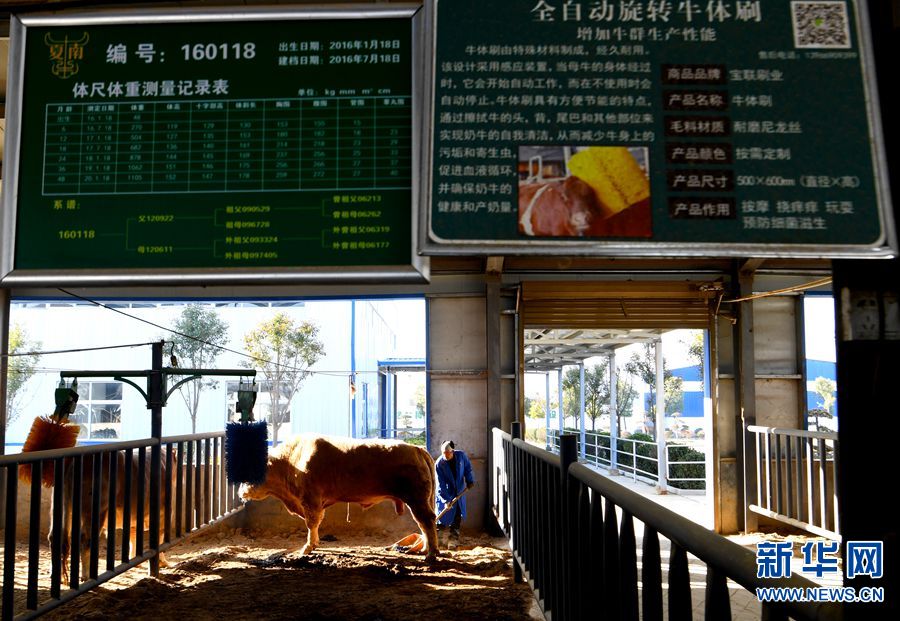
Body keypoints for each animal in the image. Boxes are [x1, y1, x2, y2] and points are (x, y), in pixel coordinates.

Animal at [237, 434, 438, 560]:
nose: (240, 492)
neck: (291, 460)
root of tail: (416, 448)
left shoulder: (311, 501)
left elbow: (312, 523)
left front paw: (308, 547)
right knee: (423, 524)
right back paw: (425, 549)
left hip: (416, 499)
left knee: (427, 521)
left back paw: (431, 553)